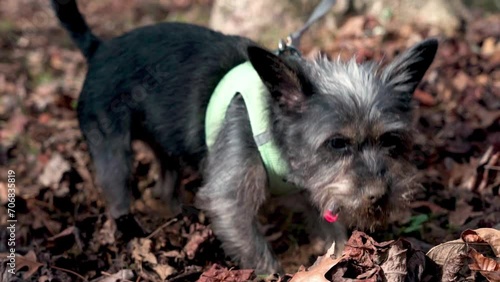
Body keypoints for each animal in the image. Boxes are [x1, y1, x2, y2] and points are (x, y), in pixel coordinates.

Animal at [51, 0, 438, 274]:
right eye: (337, 143)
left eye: (391, 142)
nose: (379, 195)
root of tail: (98, 48)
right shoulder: (230, 201)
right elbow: (256, 251)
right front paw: (274, 274)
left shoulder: (316, 191)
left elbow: (333, 234)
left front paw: (342, 259)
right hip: (112, 148)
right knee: (117, 193)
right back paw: (132, 230)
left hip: (165, 143)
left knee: (165, 182)